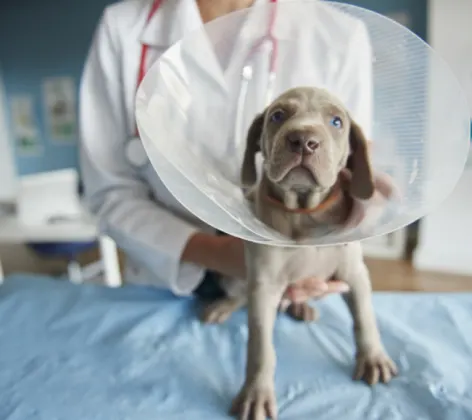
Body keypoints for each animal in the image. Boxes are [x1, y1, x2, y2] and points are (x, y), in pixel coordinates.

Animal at [201, 86, 396, 420]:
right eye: (278, 115)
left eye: (336, 121)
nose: (304, 140)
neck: (305, 211)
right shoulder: (264, 285)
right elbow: (260, 346)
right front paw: (256, 394)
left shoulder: (354, 274)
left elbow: (365, 317)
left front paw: (373, 357)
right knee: (239, 294)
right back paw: (223, 306)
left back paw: (301, 307)